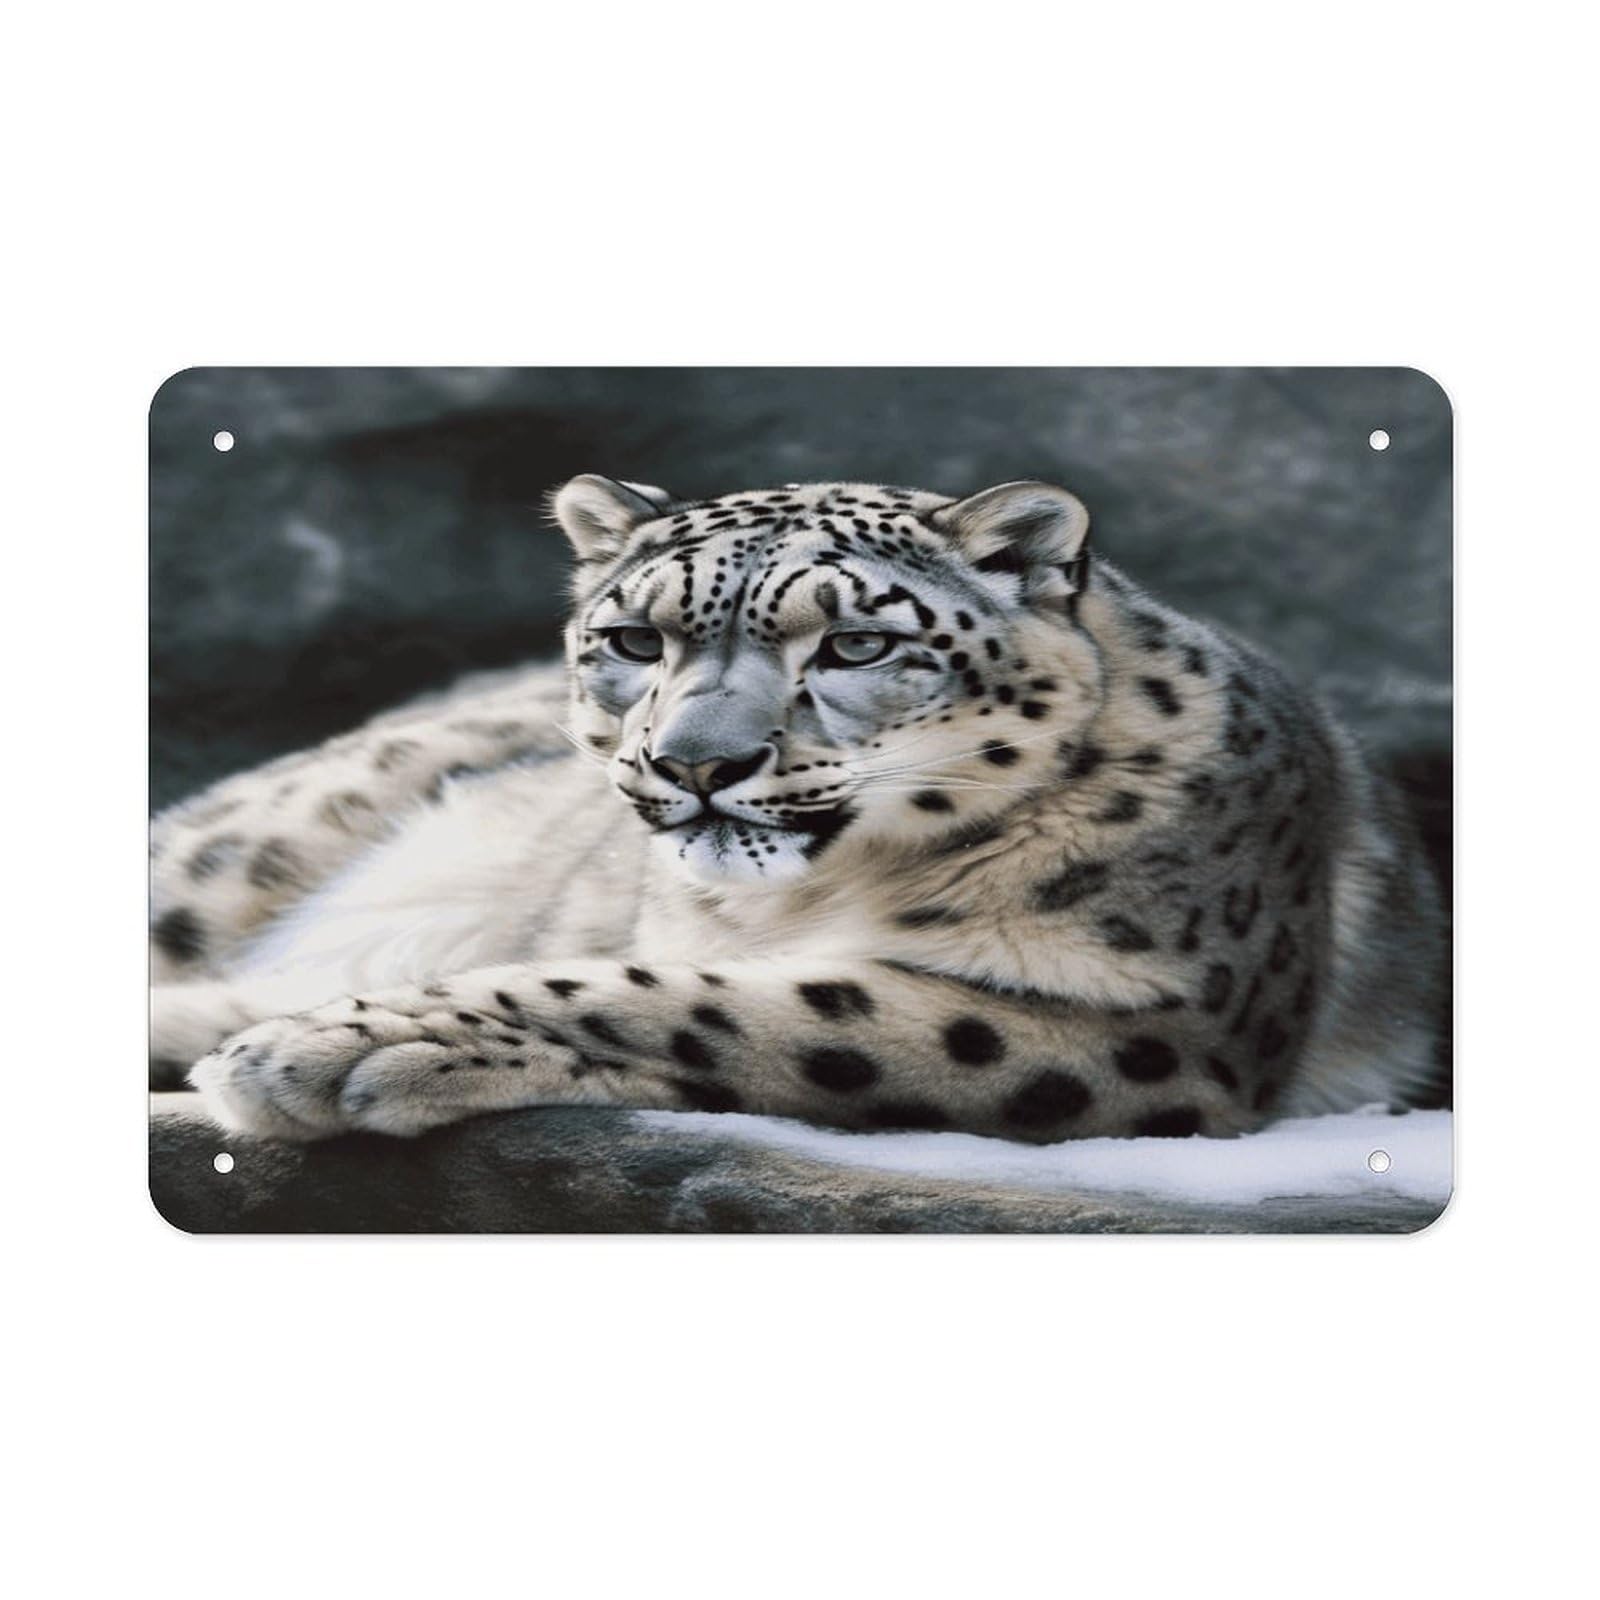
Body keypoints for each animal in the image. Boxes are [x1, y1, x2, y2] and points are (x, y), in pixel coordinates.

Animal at [150, 474, 1446, 1145]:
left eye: (856, 642)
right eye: (633, 638)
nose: (696, 762)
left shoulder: (1154, 1026)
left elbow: (711, 1003)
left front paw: (332, 1048)